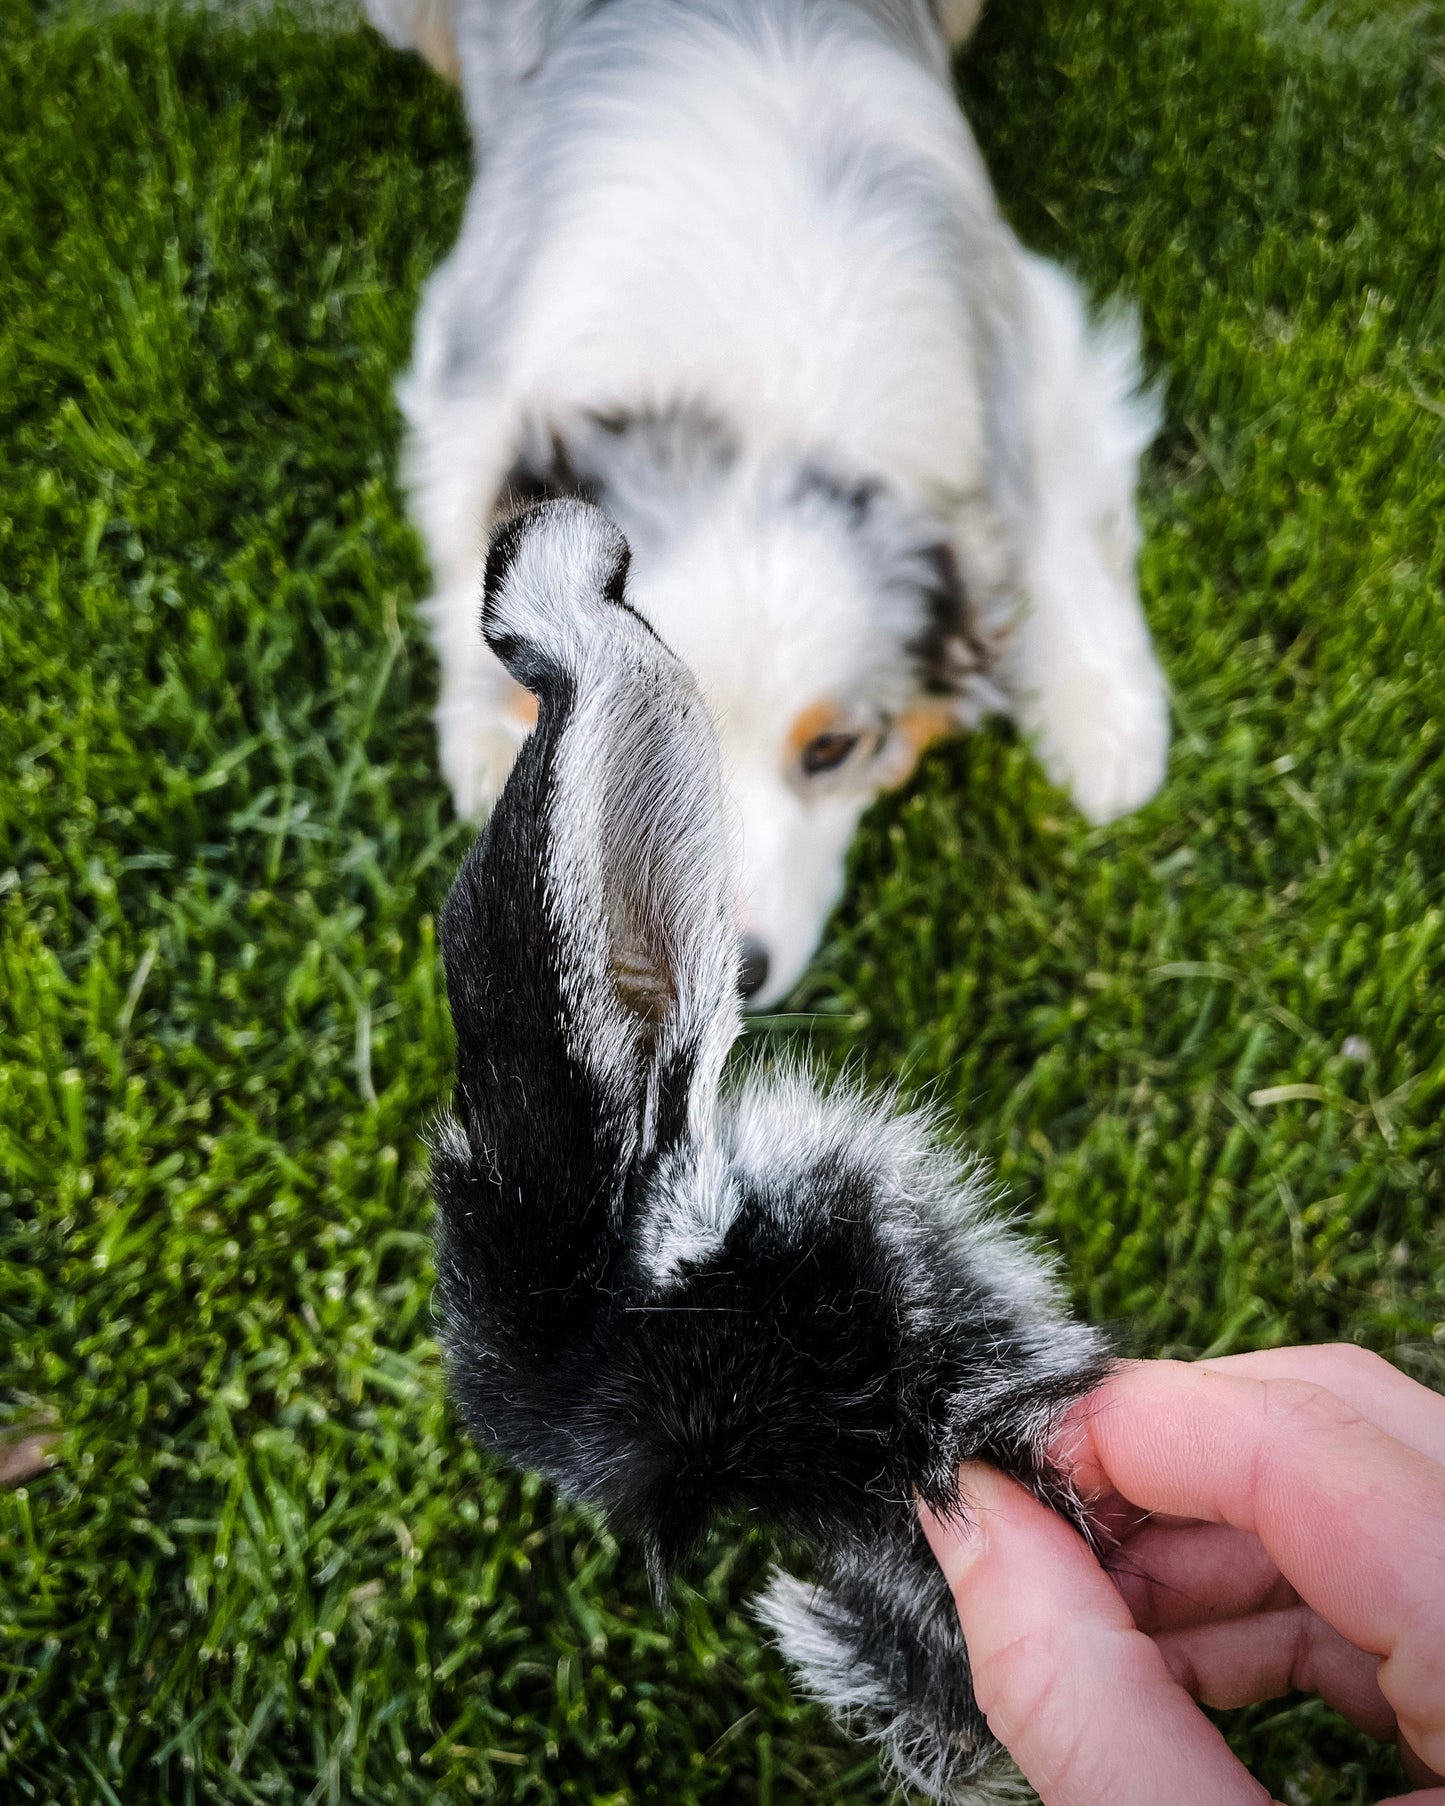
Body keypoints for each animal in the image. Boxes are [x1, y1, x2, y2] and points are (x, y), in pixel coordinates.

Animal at [366, 0, 1170, 1004]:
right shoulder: (466, 365)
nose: (730, 976)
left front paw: (1107, 723)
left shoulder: (1031, 322)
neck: (764, 393)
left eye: (835, 749)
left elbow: (1052, 510)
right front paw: (488, 738)